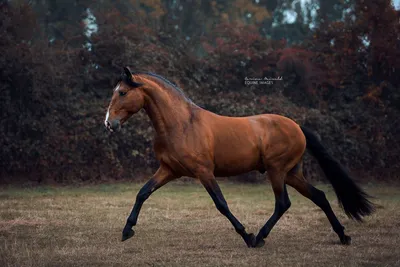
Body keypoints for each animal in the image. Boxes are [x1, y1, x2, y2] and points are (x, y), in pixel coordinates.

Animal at [104, 67, 374, 249]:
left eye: (123, 92)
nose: (109, 123)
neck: (181, 124)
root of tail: (297, 127)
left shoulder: (204, 172)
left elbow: (221, 204)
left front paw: (246, 235)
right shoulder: (169, 170)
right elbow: (143, 193)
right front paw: (127, 231)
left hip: (277, 171)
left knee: (283, 203)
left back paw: (260, 238)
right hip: (291, 174)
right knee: (319, 196)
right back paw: (343, 236)